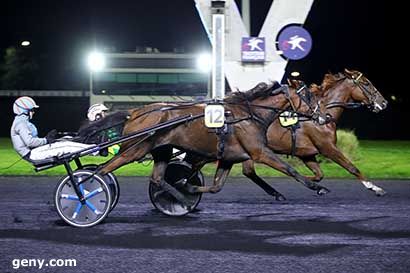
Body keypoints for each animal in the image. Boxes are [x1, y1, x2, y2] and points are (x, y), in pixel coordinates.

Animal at [97, 82, 330, 201]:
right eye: (309, 96)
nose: (324, 117)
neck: (250, 114)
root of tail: (135, 112)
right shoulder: (260, 152)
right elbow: (290, 169)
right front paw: (317, 187)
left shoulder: (228, 158)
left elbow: (216, 186)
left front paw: (187, 186)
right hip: (134, 149)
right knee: (102, 170)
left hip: (161, 150)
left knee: (157, 178)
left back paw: (178, 196)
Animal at [240, 68, 388, 198]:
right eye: (366, 83)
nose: (384, 102)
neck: (321, 116)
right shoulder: (327, 148)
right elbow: (351, 167)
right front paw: (375, 188)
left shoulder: (307, 153)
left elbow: (318, 175)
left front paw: (311, 183)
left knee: (248, 171)